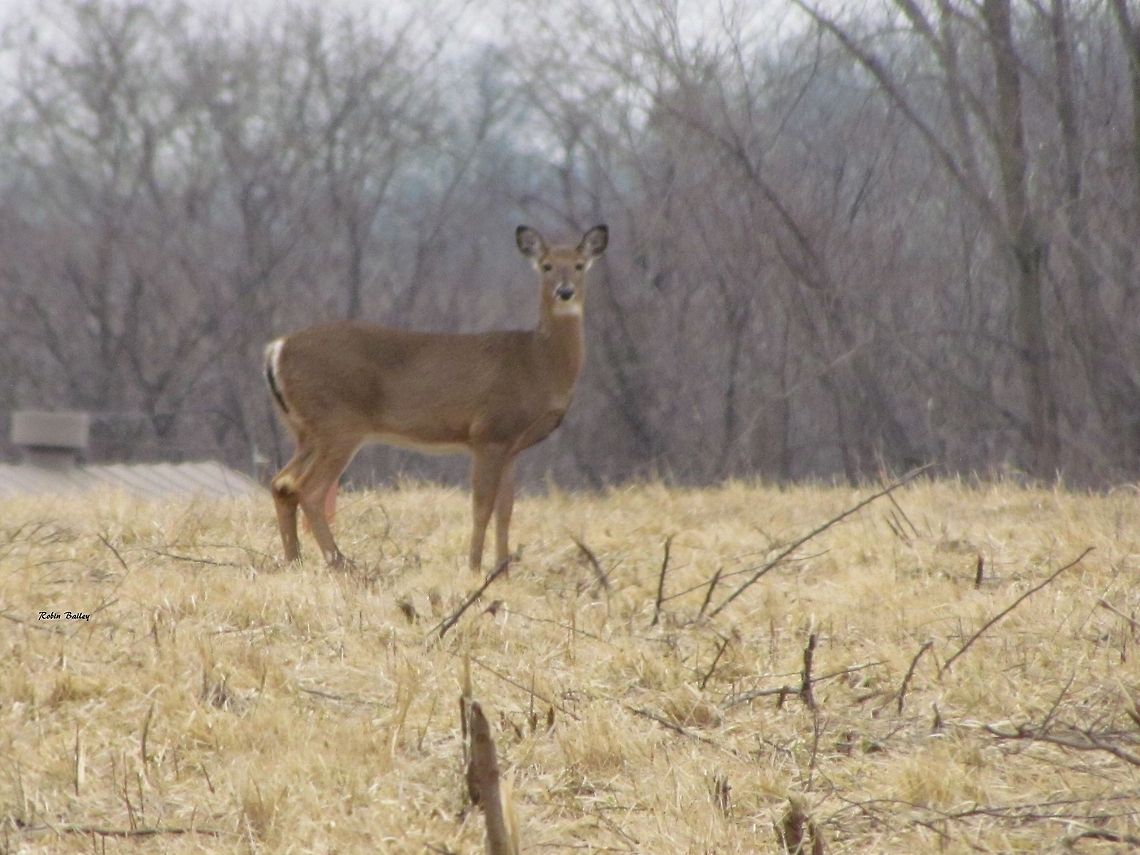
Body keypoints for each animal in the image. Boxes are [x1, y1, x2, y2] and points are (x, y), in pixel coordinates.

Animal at [264, 224, 609, 572]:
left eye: (579, 265)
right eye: (547, 266)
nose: (565, 292)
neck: (537, 362)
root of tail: (277, 349)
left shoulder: (512, 447)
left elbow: (506, 509)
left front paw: (502, 568)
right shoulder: (489, 433)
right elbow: (482, 506)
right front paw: (475, 567)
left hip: (307, 431)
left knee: (282, 484)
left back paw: (295, 560)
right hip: (338, 423)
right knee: (309, 490)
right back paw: (342, 563)